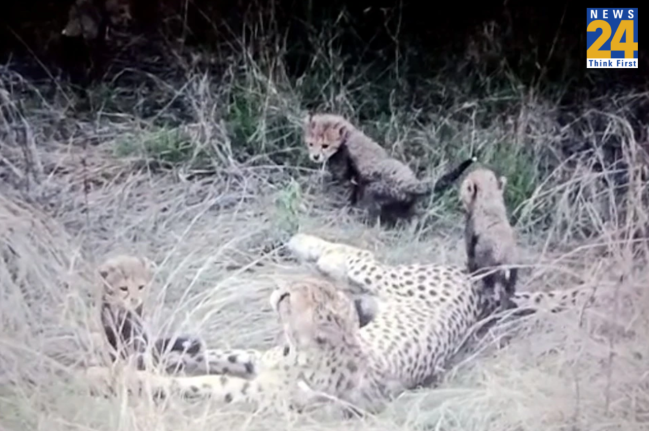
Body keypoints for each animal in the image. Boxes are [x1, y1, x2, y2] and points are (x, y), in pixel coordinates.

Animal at [83, 234, 602, 415]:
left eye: (289, 297)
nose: (278, 289)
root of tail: (482, 292)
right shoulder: (259, 362)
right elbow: (211, 355)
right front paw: (158, 352)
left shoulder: (256, 394)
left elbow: (198, 383)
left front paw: (114, 377)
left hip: (387, 276)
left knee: (355, 256)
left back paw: (303, 241)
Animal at [303, 113, 477, 226]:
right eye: (310, 144)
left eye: (325, 145)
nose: (315, 156)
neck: (347, 136)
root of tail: (409, 181)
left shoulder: (348, 178)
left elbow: (341, 193)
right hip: (403, 205)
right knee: (412, 218)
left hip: (373, 191)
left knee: (372, 213)